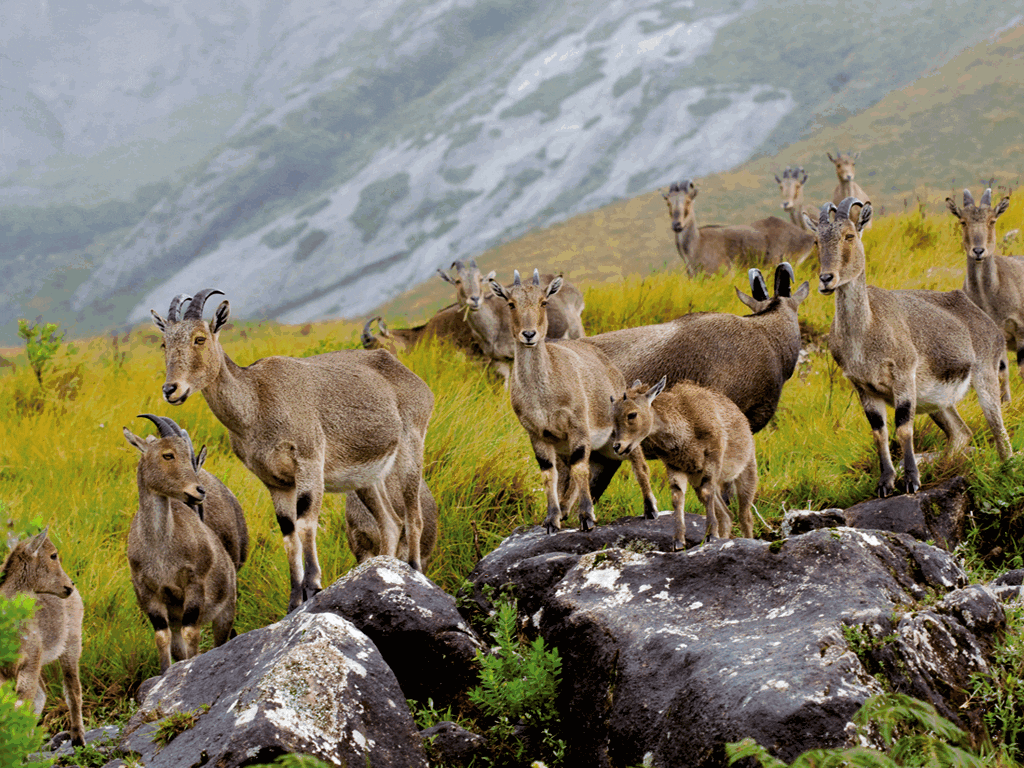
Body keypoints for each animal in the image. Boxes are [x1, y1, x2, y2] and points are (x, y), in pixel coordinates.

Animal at [0, 528, 84, 745]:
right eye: (53, 555)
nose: (69, 585)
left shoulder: (29, 663)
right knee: (41, 696)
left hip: (72, 643)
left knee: (72, 690)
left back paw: (78, 739)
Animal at [606, 376, 761, 548]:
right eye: (612, 416)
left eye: (632, 414)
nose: (617, 446)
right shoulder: (675, 466)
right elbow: (677, 497)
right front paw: (678, 541)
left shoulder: (712, 456)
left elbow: (707, 493)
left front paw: (711, 535)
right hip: (698, 480)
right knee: (727, 515)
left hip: (747, 470)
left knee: (745, 516)